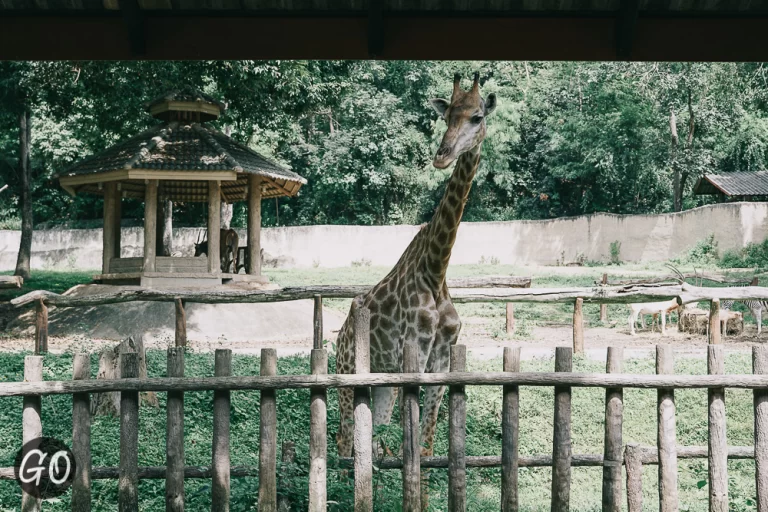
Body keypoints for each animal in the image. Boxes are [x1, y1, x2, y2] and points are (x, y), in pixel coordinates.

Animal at [336, 72, 498, 464]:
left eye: (477, 117)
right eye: (447, 116)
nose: (442, 156)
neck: (436, 270)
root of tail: (340, 334)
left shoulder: (441, 357)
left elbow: (424, 445)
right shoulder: (414, 351)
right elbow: (409, 447)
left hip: (380, 382)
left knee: (372, 436)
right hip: (347, 369)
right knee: (344, 441)